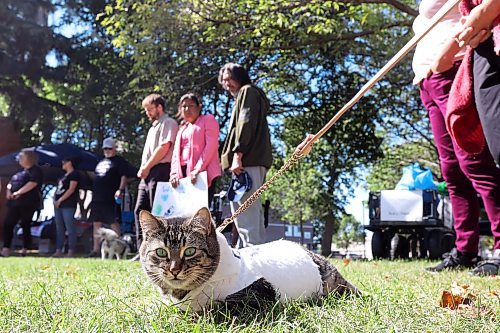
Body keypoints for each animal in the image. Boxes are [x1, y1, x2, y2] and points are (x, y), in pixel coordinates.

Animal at [139, 208, 362, 312]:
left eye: (190, 251)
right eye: (161, 252)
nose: (174, 269)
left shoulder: (255, 297)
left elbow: (214, 307)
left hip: (334, 284)